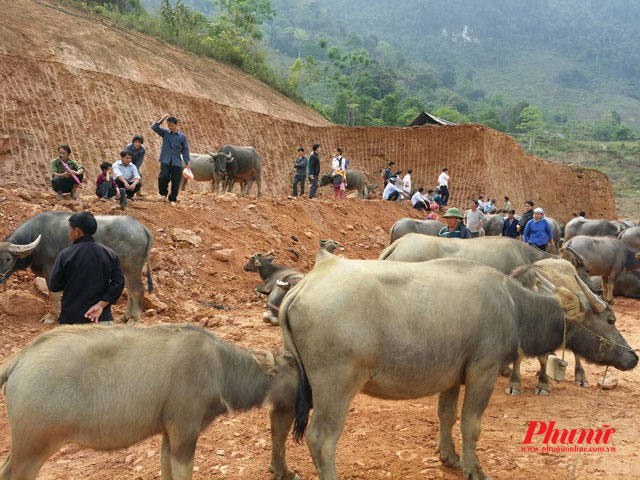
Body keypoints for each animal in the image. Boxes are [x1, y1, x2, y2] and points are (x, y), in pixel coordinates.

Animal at [0, 212, 153, 324]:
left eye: (8, 259)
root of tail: (140, 227)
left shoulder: (51, 270)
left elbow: (53, 295)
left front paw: (51, 317)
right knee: (130, 290)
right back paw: (124, 317)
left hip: (131, 267)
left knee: (138, 289)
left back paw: (133, 320)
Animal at [0, 322, 300, 480]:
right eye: (297, 375)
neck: (220, 367)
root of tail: (21, 358)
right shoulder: (184, 432)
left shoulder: (168, 433)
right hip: (33, 448)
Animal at [278, 255, 636, 480]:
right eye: (610, 319)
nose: (632, 356)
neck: (514, 306)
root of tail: (302, 287)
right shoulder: (483, 373)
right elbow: (471, 425)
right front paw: (474, 468)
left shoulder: (450, 378)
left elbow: (446, 415)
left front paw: (448, 456)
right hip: (335, 387)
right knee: (322, 439)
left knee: (282, 422)